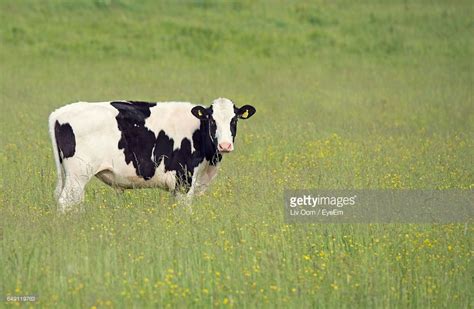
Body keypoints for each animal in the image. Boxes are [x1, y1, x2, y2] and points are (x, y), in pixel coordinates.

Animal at [48, 98, 256, 212]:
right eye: (212, 120)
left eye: (234, 120)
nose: (225, 145)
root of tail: (59, 112)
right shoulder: (184, 181)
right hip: (78, 174)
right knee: (66, 202)